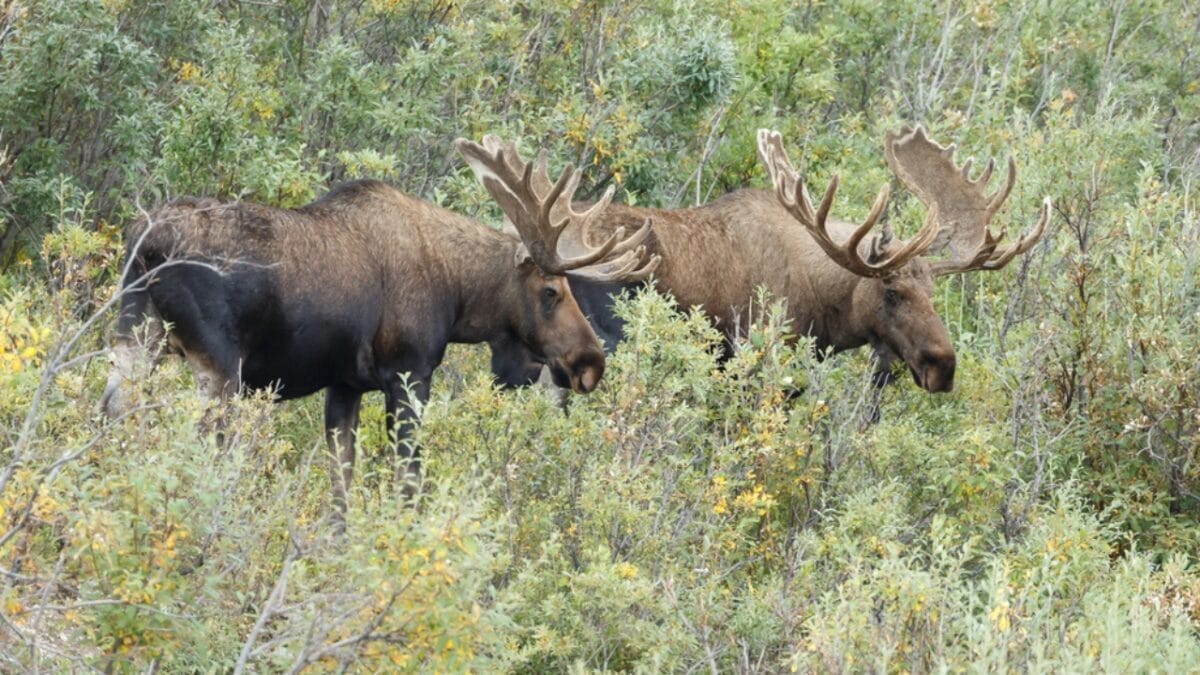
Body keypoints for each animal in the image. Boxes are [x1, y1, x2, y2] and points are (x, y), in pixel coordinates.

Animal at [101, 138, 657, 526]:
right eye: (551, 291)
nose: (590, 364)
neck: (456, 292)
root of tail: (148, 242)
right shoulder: (408, 374)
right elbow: (407, 480)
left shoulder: (344, 385)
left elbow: (342, 484)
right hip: (218, 367)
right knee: (201, 444)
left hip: (135, 338)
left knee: (110, 413)